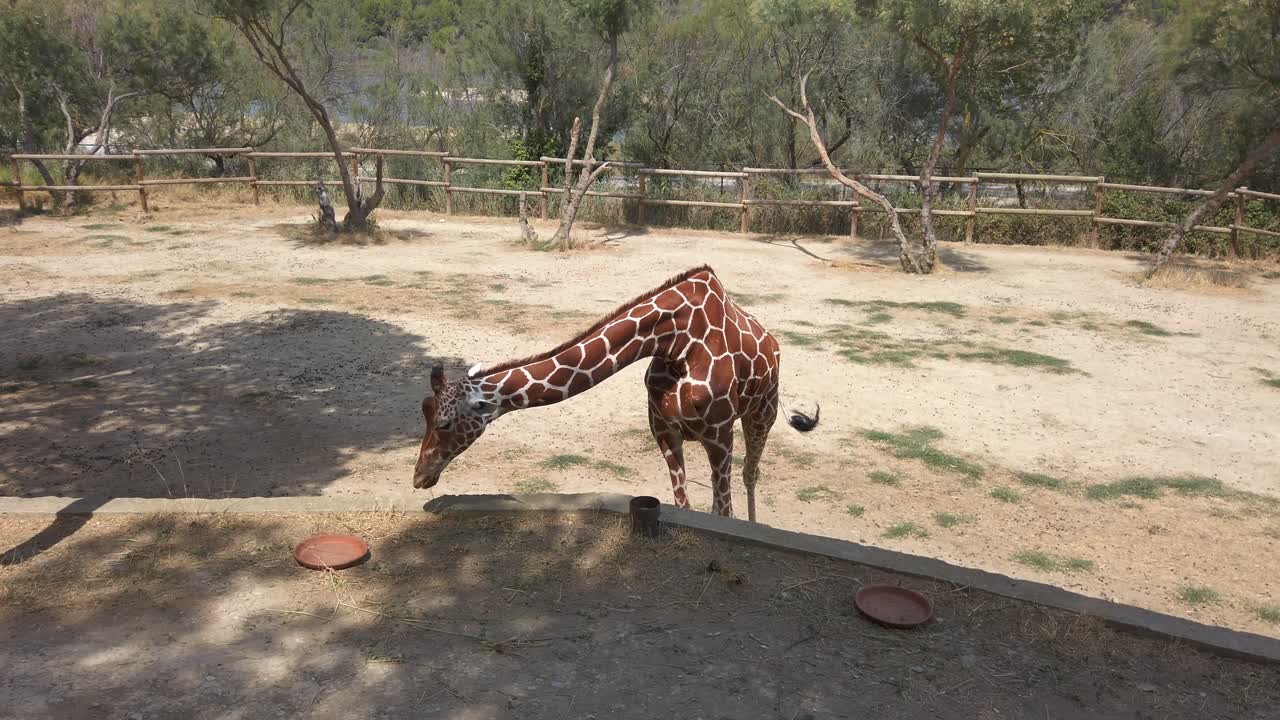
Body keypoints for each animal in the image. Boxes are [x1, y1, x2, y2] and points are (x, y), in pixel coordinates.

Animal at [412, 265, 819, 521]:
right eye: (424, 411)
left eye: (444, 423)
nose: (419, 477)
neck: (675, 342)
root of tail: (773, 343)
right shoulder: (665, 431)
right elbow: (684, 506)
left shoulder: (719, 435)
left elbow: (723, 510)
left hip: (760, 414)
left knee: (752, 474)